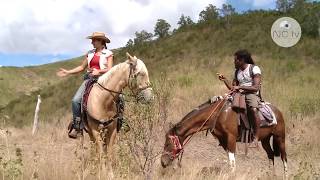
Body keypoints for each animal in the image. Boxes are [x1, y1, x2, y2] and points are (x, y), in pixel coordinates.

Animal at [160, 94, 288, 176]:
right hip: (265, 139)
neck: (217, 113)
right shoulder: (223, 140)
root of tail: (278, 111)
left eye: (168, 144)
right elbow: (230, 160)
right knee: (271, 155)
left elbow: (231, 161)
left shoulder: (231, 138)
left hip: (280, 138)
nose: (163, 162)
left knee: (284, 157)